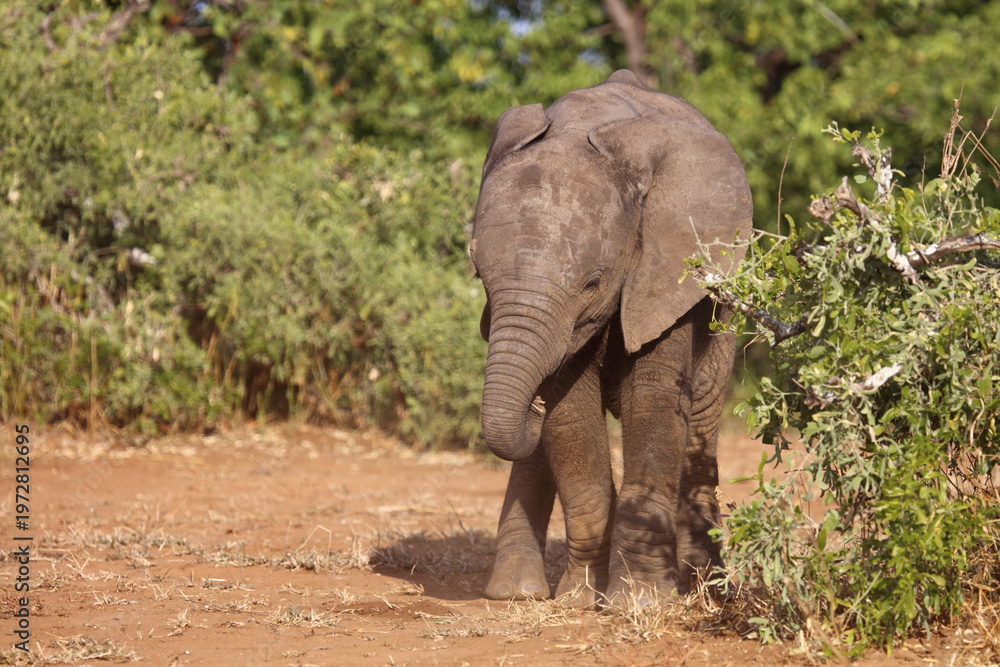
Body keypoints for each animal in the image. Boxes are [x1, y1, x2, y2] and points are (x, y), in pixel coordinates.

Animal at [469, 70, 752, 606]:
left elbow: (654, 400)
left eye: (592, 283)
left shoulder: (667, 268)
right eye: (479, 274)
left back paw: (707, 586)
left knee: (701, 420)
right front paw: (580, 599)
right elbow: (568, 415)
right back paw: (516, 592)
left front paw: (641, 601)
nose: (530, 405)